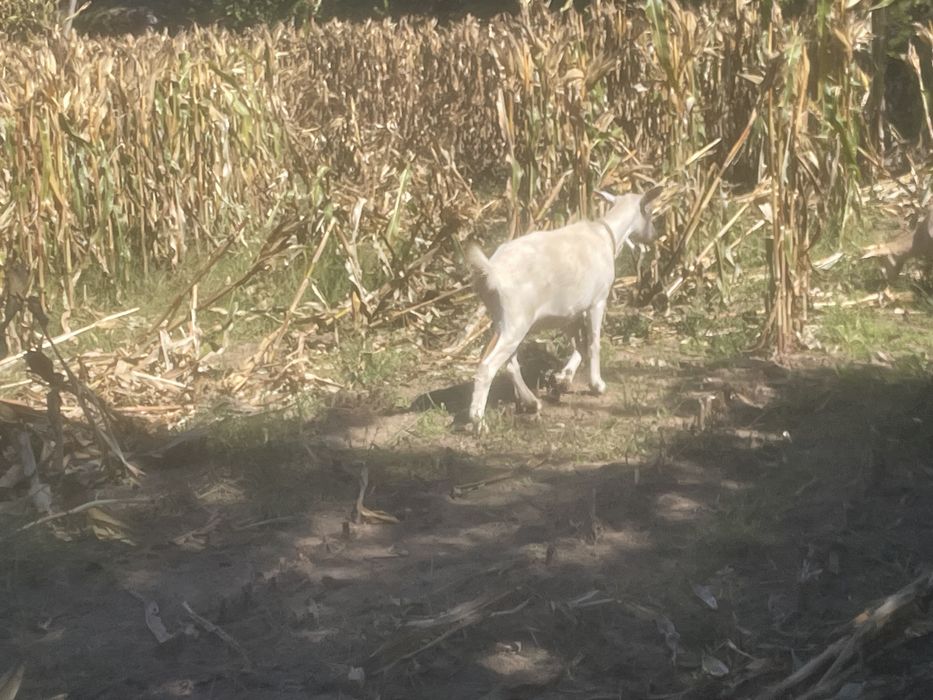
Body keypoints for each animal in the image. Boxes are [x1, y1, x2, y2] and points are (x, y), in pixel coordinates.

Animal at [465, 186, 663, 429]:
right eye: (650, 212)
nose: (654, 236)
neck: (606, 235)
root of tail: (492, 270)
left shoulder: (570, 310)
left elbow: (579, 344)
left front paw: (564, 378)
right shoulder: (597, 300)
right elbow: (593, 343)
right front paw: (597, 385)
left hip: (502, 320)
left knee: (509, 364)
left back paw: (531, 402)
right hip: (515, 321)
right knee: (488, 366)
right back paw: (478, 421)